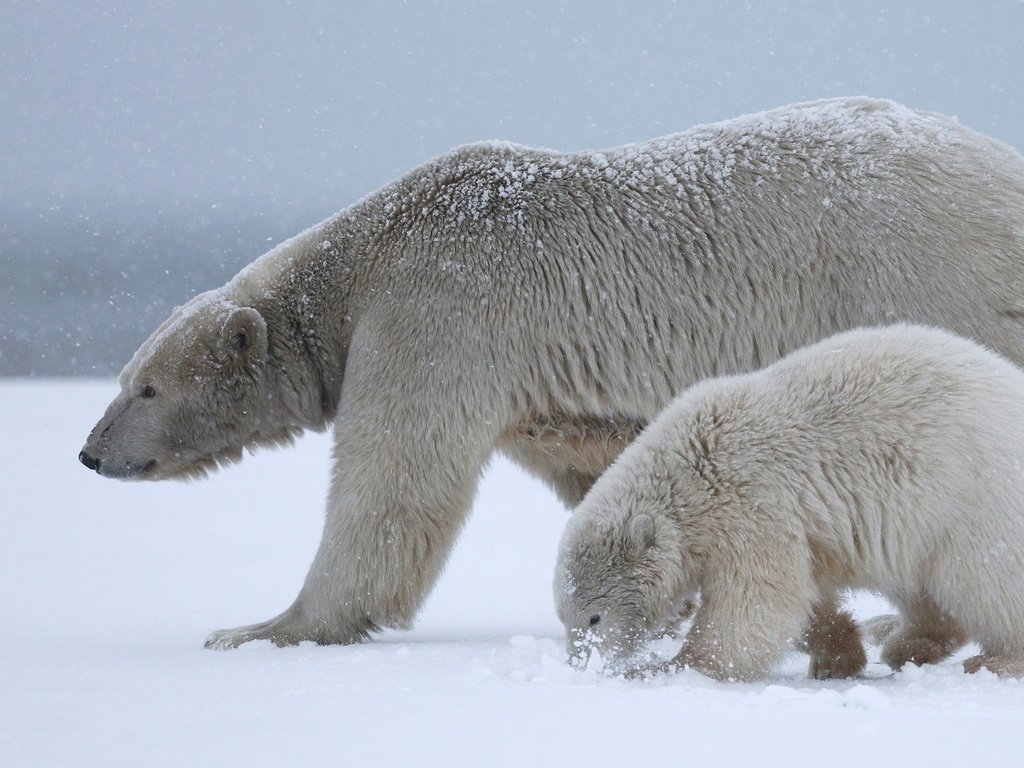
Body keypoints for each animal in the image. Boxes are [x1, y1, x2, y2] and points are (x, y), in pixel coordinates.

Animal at [557, 325, 1024, 679]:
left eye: (593, 617)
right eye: (564, 617)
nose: (580, 663)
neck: (690, 465)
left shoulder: (750, 501)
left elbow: (756, 601)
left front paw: (667, 667)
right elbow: (802, 594)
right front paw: (838, 656)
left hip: (974, 498)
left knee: (986, 581)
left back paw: (995, 659)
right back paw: (908, 646)